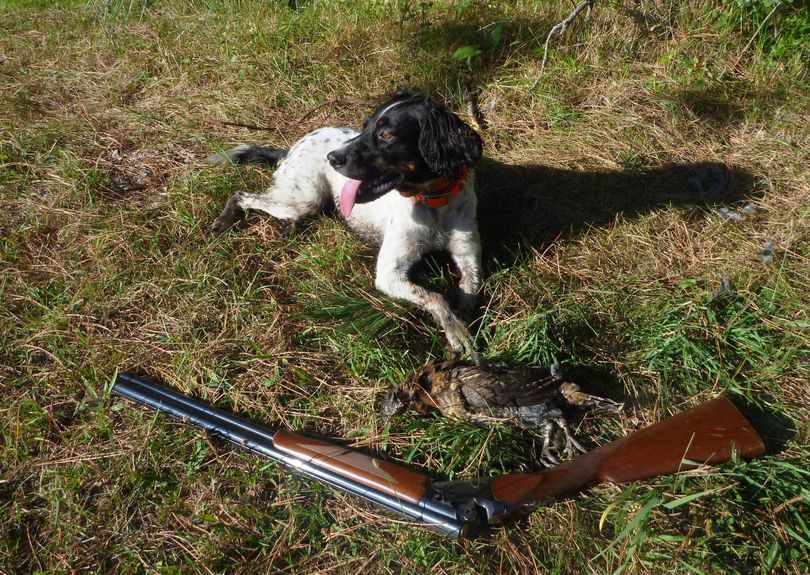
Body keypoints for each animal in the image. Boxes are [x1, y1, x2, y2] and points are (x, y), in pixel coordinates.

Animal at [210, 91, 486, 362]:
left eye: (386, 134)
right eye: (366, 127)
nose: (332, 157)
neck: (433, 201)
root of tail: (293, 147)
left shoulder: (468, 256)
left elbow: (469, 294)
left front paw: (462, 332)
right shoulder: (388, 274)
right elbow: (436, 297)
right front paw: (457, 332)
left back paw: (290, 227)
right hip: (301, 199)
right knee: (241, 194)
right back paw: (224, 220)